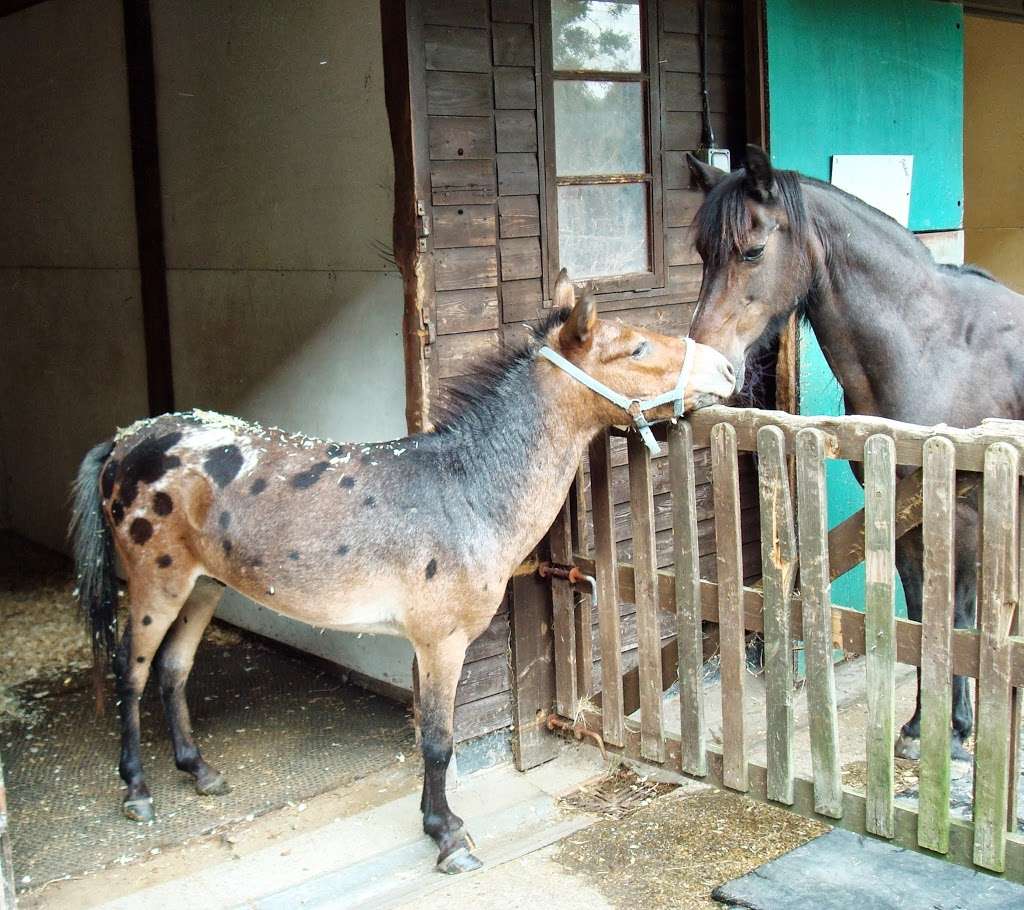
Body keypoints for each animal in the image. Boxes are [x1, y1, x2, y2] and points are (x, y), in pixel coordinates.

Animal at [70, 272, 737, 872]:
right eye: (637, 349)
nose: (728, 370)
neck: (466, 489)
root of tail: (126, 440)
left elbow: (431, 738)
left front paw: (437, 821)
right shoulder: (441, 642)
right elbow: (439, 742)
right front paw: (447, 838)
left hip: (204, 586)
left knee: (173, 670)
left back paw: (198, 769)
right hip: (157, 585)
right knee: (132, 672)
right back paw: (137, 790)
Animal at [684, 145, 1024, 761]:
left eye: (753, 250)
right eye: (702, 254)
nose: (703, 369)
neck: (932, 350)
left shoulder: (964, 514)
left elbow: (959, 617)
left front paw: (957, 730)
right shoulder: (905, 515)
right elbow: (918, 613)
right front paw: (920, 726)